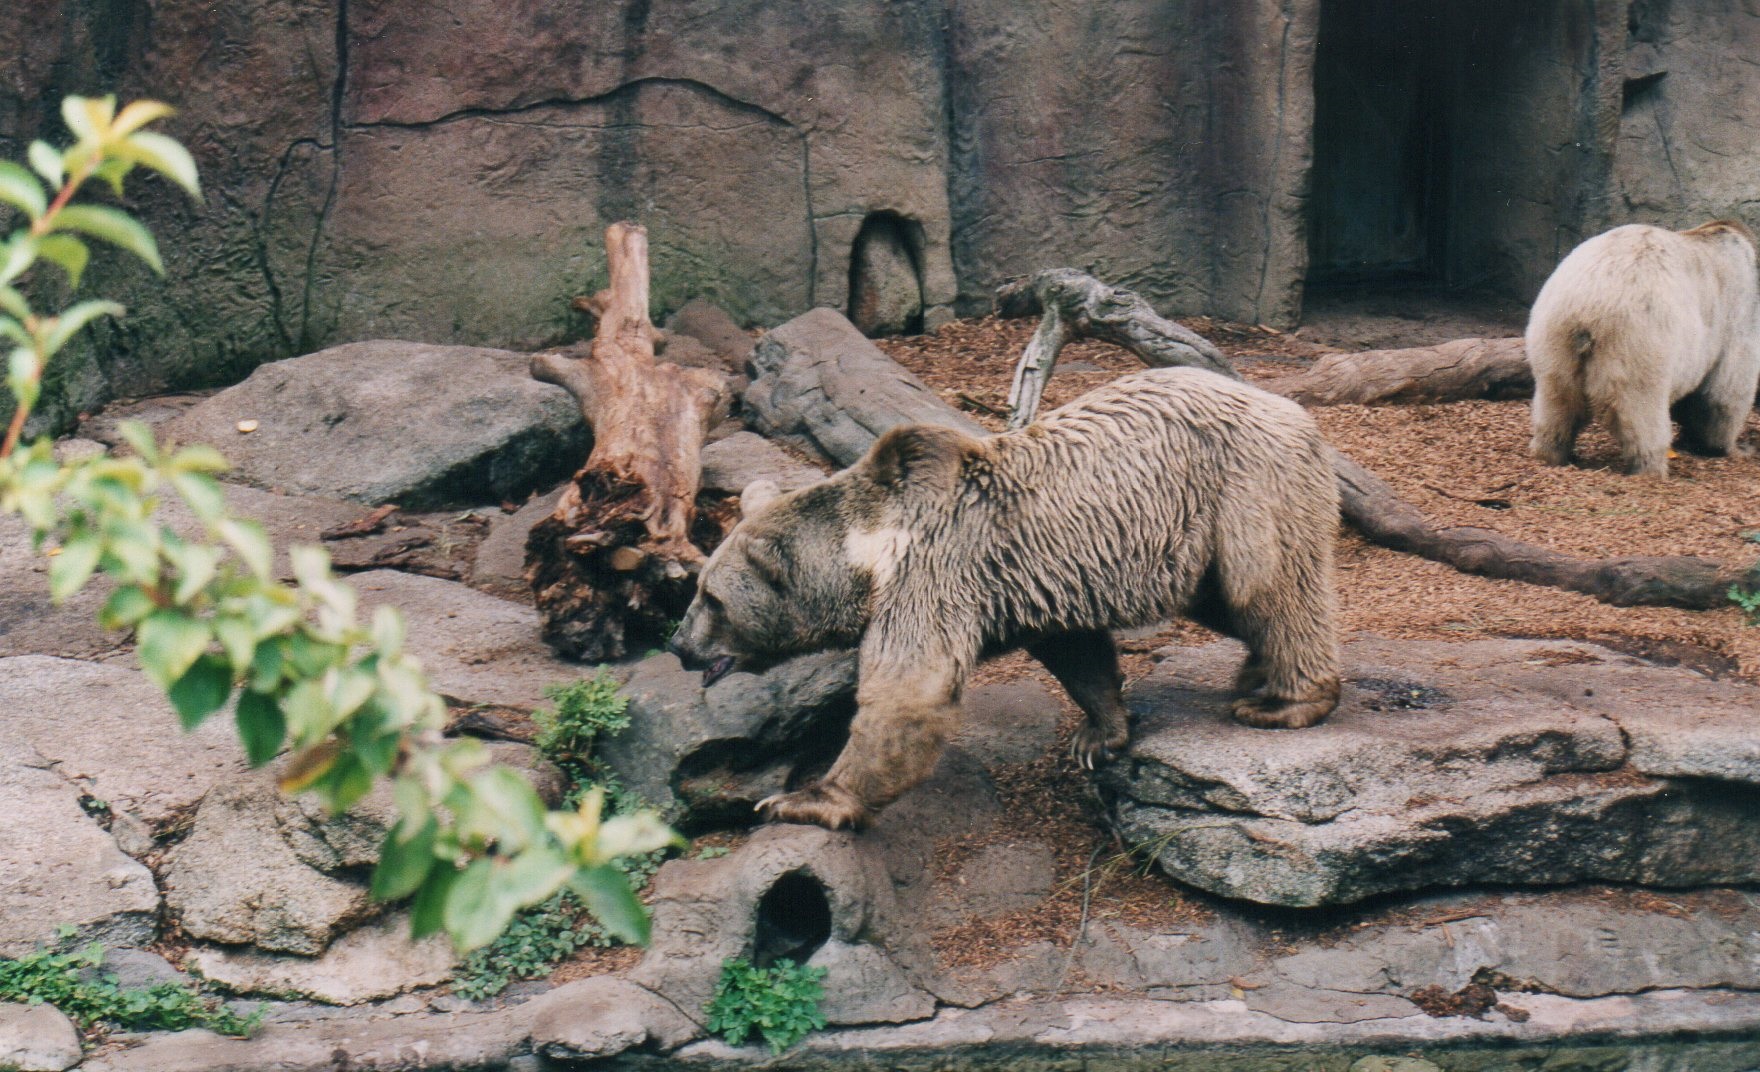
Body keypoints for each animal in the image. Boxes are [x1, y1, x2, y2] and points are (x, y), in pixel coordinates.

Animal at [670, 367, 1341, 830]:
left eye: (711, 598)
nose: (678, 644)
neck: (872, 553)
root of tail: (1294, 410)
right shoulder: (1038, 584)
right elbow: (1077, 653)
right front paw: (1099, 734)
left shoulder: (933, 574)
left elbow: (909, 693)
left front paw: (798, 799)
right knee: (1234, 603)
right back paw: (1256, 673)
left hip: (1243, 487)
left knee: (1271, 590)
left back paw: (1285, 700)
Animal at [1527, 219, 1760, 478]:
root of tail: (1586, 308)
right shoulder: (1738, 309)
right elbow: (1727, 389)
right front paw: (1729, 447)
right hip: (1638, 340)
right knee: (1641, 410)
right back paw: (1650, 467)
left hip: (1554, 337)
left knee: (1556, 399)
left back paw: (1551, 451)